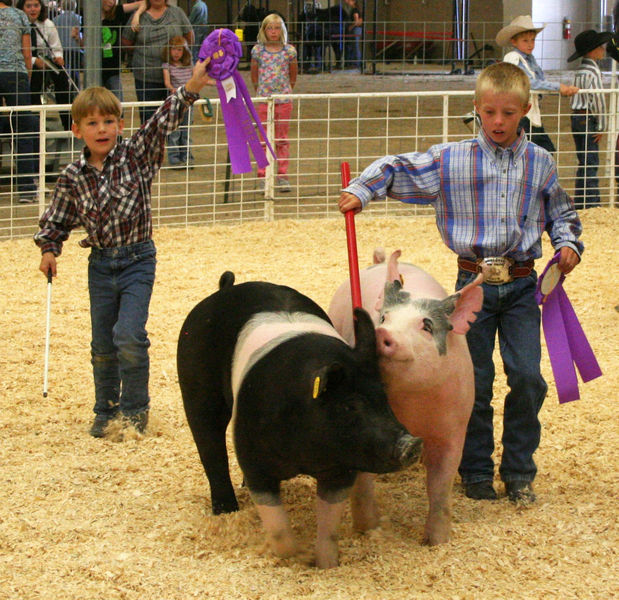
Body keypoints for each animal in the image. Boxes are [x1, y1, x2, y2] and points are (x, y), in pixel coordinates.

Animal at [177, 272, 424, 568]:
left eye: (384, 396)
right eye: (350, 406)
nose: (412, 443)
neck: (305, 450)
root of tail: (224, 289)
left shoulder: (340, 467)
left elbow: (328, 526)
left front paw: (325, 564)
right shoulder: (255, 460)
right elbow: (278, 527)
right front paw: (297, 557)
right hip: (195, 385)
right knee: (210, 446)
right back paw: (225, 510)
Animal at [330, 248, 484, 544]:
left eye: (426, 326)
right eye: (383, 318)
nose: (381, 333)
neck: (411, 403)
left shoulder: (454, 428)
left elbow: (440, 484)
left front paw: (435, 542)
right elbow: (362, 482)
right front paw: (370, 530)